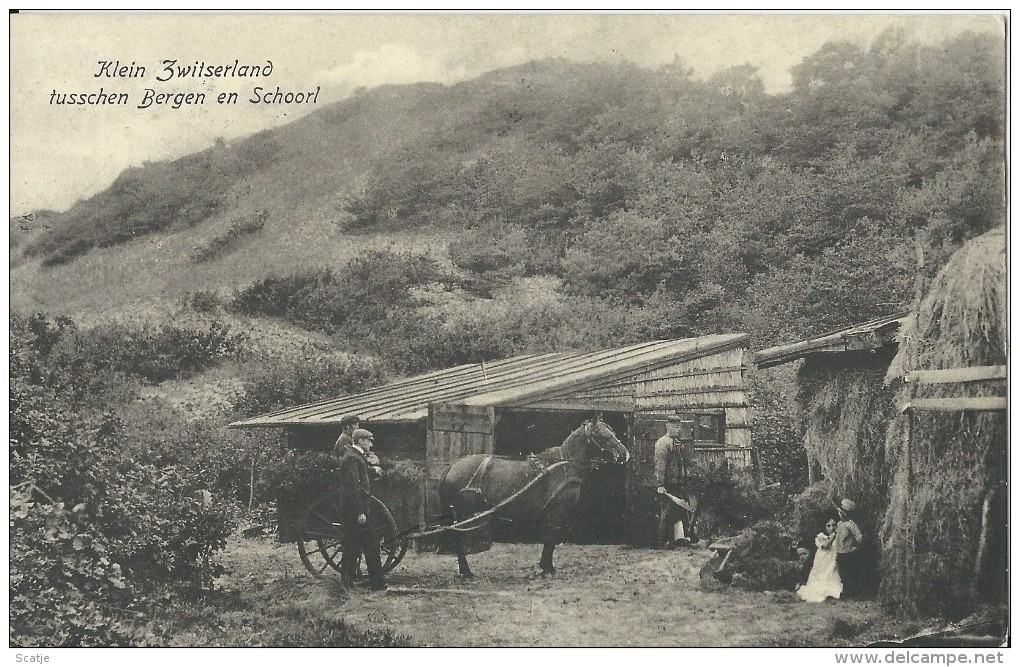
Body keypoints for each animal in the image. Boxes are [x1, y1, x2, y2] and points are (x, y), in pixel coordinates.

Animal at [438, 418, 628, 579]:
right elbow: (551, 537)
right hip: (464, 513)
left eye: (612, 432)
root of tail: (452, 466)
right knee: (458, 538)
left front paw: (545, 566)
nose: (625, 454)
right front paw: (548, 568)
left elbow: (548, 537)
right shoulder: (557, 510)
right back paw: (466, 572)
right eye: (602, 435)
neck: (565, 465)